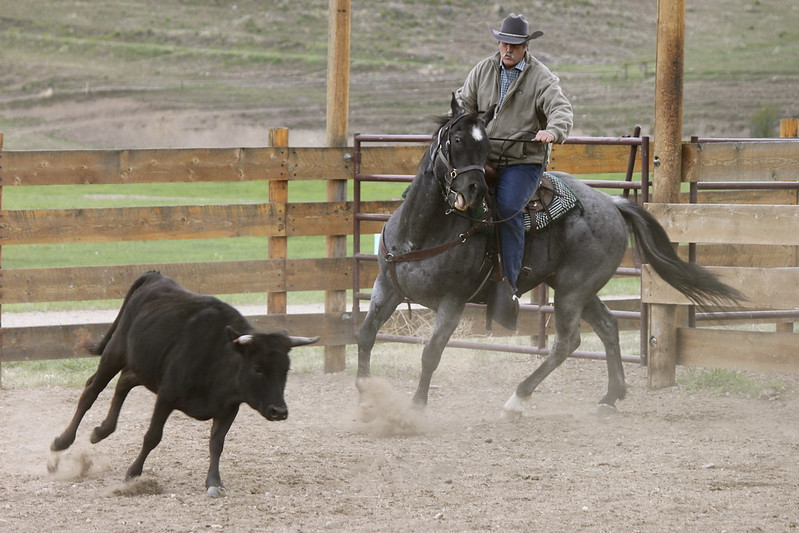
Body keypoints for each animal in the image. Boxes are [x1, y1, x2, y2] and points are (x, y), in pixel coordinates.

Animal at [356, 97, 744, 418]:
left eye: (485, 146)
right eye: (457, 141)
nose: (474, 191)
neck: (422, 230)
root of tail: (613, 203)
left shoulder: (453, 301)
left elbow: (431, 353)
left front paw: (416, 406)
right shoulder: (385, 287)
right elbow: (366, 335)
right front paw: (364, 397)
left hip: (573, 290)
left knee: (567, 342)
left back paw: (517, 399)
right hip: (578, 288)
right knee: (608, 326)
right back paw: (610, 397)